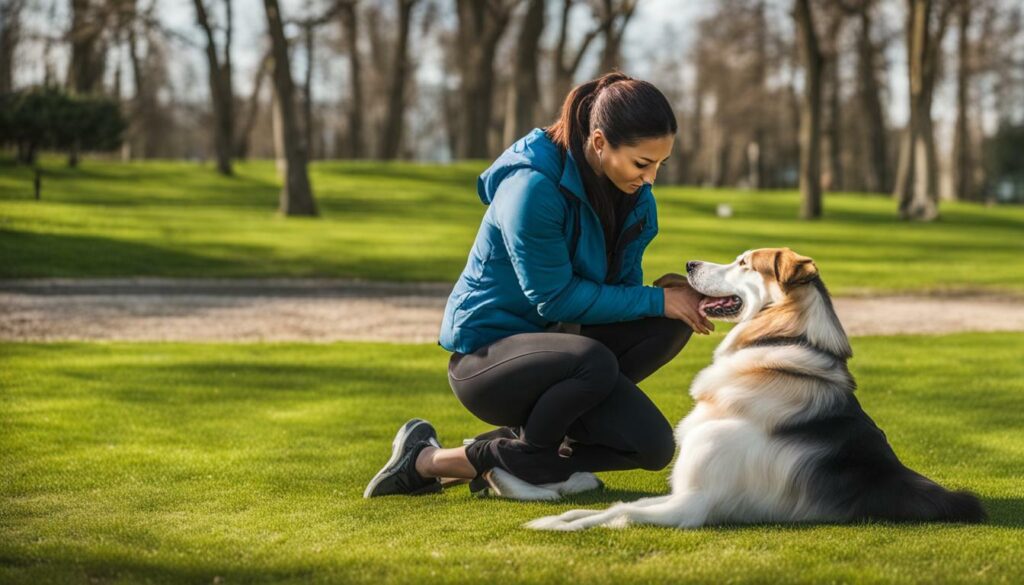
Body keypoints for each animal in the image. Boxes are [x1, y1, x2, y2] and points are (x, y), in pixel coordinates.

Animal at [528, 246, 983, 532]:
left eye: (744, 262)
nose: (689, 263)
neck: (776, 343)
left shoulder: (694, 503)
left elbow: (620, 512)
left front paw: (557, 525)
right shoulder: (685, 491)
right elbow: (618, 505)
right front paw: (563, 516)